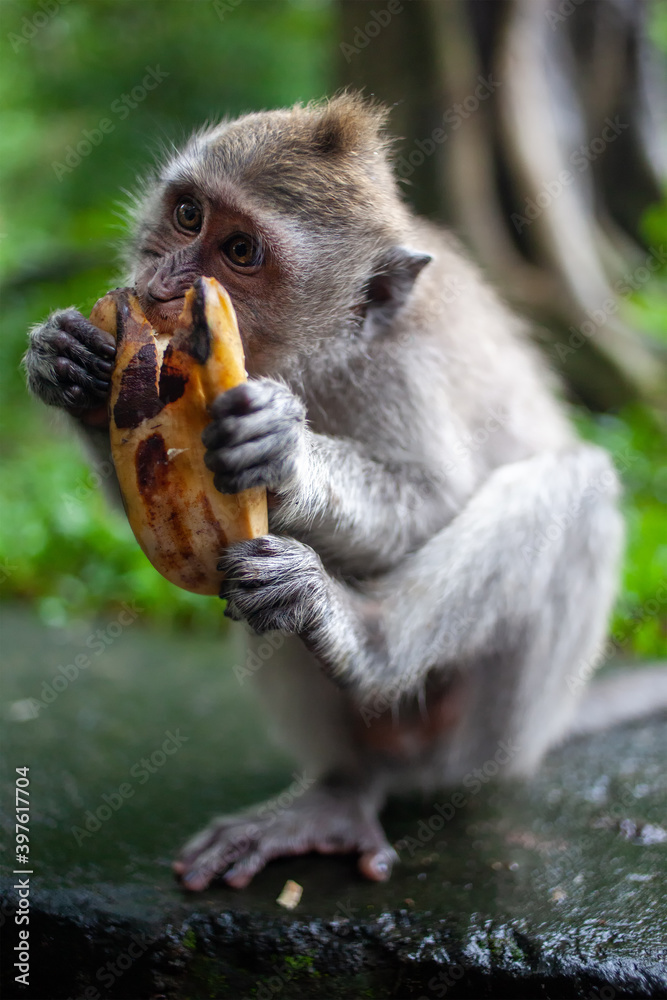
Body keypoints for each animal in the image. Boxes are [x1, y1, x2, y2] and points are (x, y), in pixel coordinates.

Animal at [24, 93, 667, 892]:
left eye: (241, 252)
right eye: (187, 214)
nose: (164, 282)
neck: (313, 358)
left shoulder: (403, 370)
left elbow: (434, 503)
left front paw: (288, 456)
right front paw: (69, 367)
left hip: (492, 741)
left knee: (576, 487)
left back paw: (360, 637)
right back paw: (341, 787)